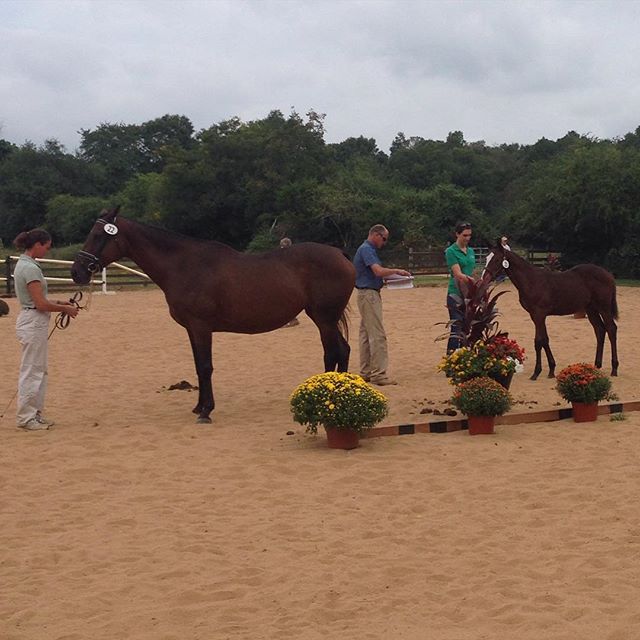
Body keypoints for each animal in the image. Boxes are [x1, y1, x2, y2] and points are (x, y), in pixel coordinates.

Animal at [70, 208, 356, 422]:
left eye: (98, 235)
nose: (77, 272)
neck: (184, 266)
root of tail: (339, 253)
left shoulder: (201, 327)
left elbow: (206, 366)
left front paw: (206, 412)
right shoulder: (191, 329)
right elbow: (199, 366)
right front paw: (199, 406)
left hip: (324, 318)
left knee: (333, 352)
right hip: (324, 318)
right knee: (343, 350)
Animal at [482, 242, 616, 378]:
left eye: (497, 259)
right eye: (487, 258)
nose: (484, 278)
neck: (531, 280)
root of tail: (608, 275)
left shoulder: (539, 314)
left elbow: (539, 341)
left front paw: (536, 372)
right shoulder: (535, 315)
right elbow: (543, 341)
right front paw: (551, 370)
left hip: (604, 308)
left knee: (611, 329)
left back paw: (614, 369)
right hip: (591, 309)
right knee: (600, 330)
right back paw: (597, 366)